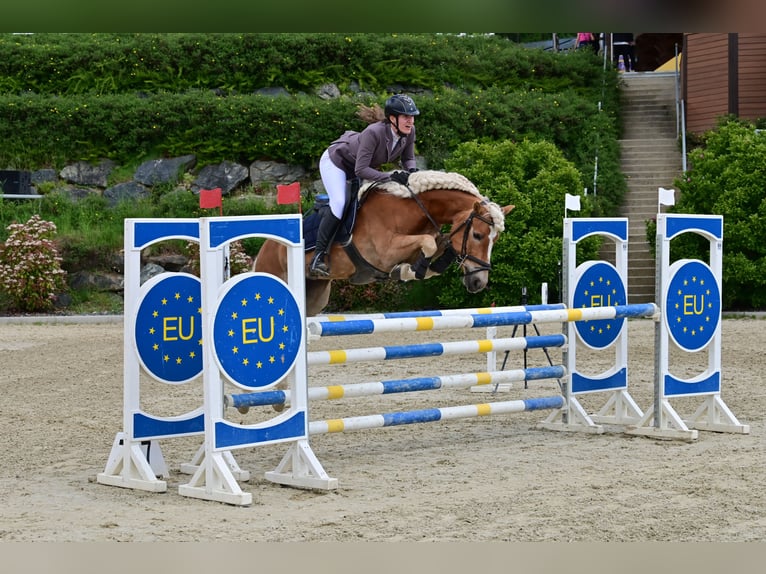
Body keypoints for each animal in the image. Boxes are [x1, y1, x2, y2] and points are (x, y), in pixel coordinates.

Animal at [254, 171, 516, 318]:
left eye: (495, 240)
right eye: (478, 235)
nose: (478, 283)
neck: (412, 211)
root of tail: (264, 249)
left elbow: (435, 247)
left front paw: (410, 270)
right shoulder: (383, 252)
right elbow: (428, 243)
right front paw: (409, 270)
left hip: (315, 296)